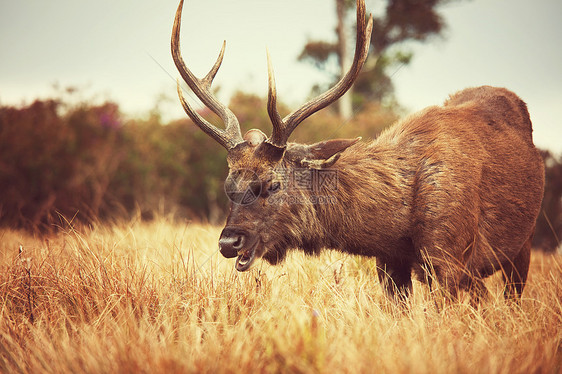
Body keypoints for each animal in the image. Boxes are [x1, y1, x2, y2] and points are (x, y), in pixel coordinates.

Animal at [172, 0, 544, 302]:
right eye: (228, 186)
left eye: (273, 184)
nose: (228, 243)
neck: (395, 226)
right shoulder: (391, 263)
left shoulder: (450, 259)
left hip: (522, 245)